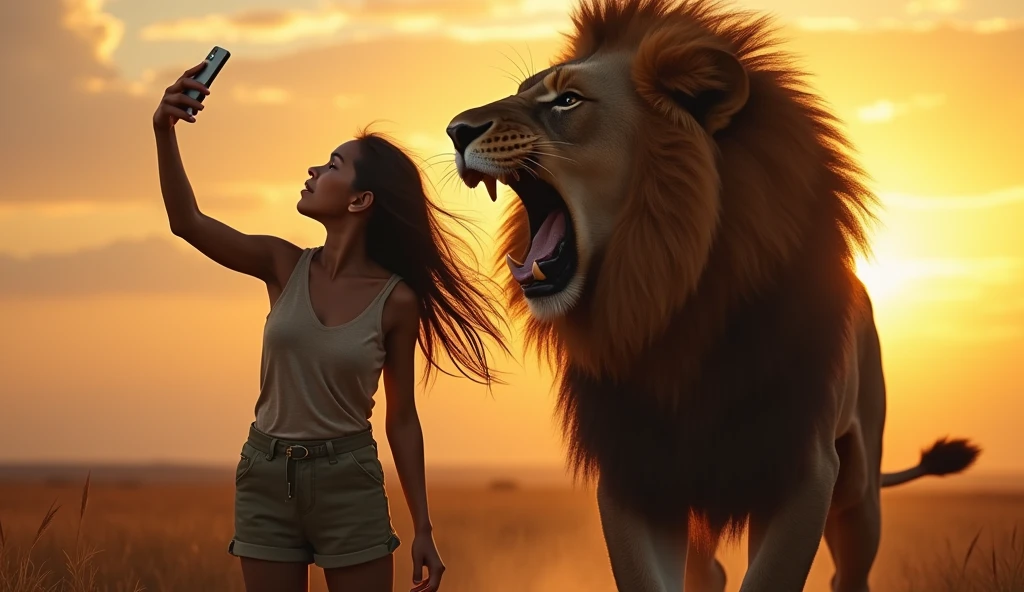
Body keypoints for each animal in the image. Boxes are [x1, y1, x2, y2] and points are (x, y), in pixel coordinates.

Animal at [444, 1, 978, 589]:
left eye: (567, 100)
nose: (455, 130)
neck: (672, 305)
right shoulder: (637, 470)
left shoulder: (802, 466)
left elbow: (771, 576)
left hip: (858, 487)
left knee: (850, 568)